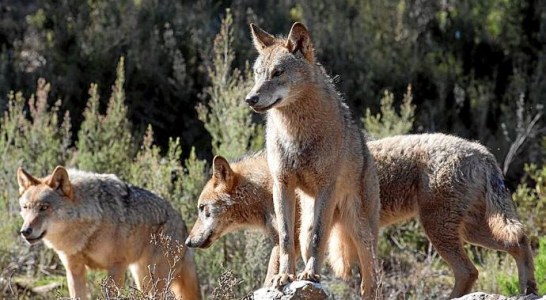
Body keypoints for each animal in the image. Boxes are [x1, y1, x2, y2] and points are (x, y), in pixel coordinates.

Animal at [15, 166, 201, 300]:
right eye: (25, 208)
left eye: (44, 207)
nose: (25, 231)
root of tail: (183, 224)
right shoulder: (74, 269)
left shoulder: (116, 266)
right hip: (142, 278)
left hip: (155, 281)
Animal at [185, 134, 532, 300]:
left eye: (202, 210)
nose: (188, 242)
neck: (267, 185)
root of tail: (482, 151)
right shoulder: (289, 242)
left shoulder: (291, 240)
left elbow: (274, 276)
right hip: (469, 231)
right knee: (519, 242)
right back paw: (529, 288)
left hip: (441, 231)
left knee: (471, 270)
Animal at [244, 21, 380, 298]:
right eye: (258, 73)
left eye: (277, 72)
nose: (250, 99)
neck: (296, 134)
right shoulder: (282, 185)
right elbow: (285, 239)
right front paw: (284, 276)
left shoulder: (326, 186)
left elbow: (320, 237)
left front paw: (310, 275)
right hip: (308, 222)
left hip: (360, 230)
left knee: (370, 279)